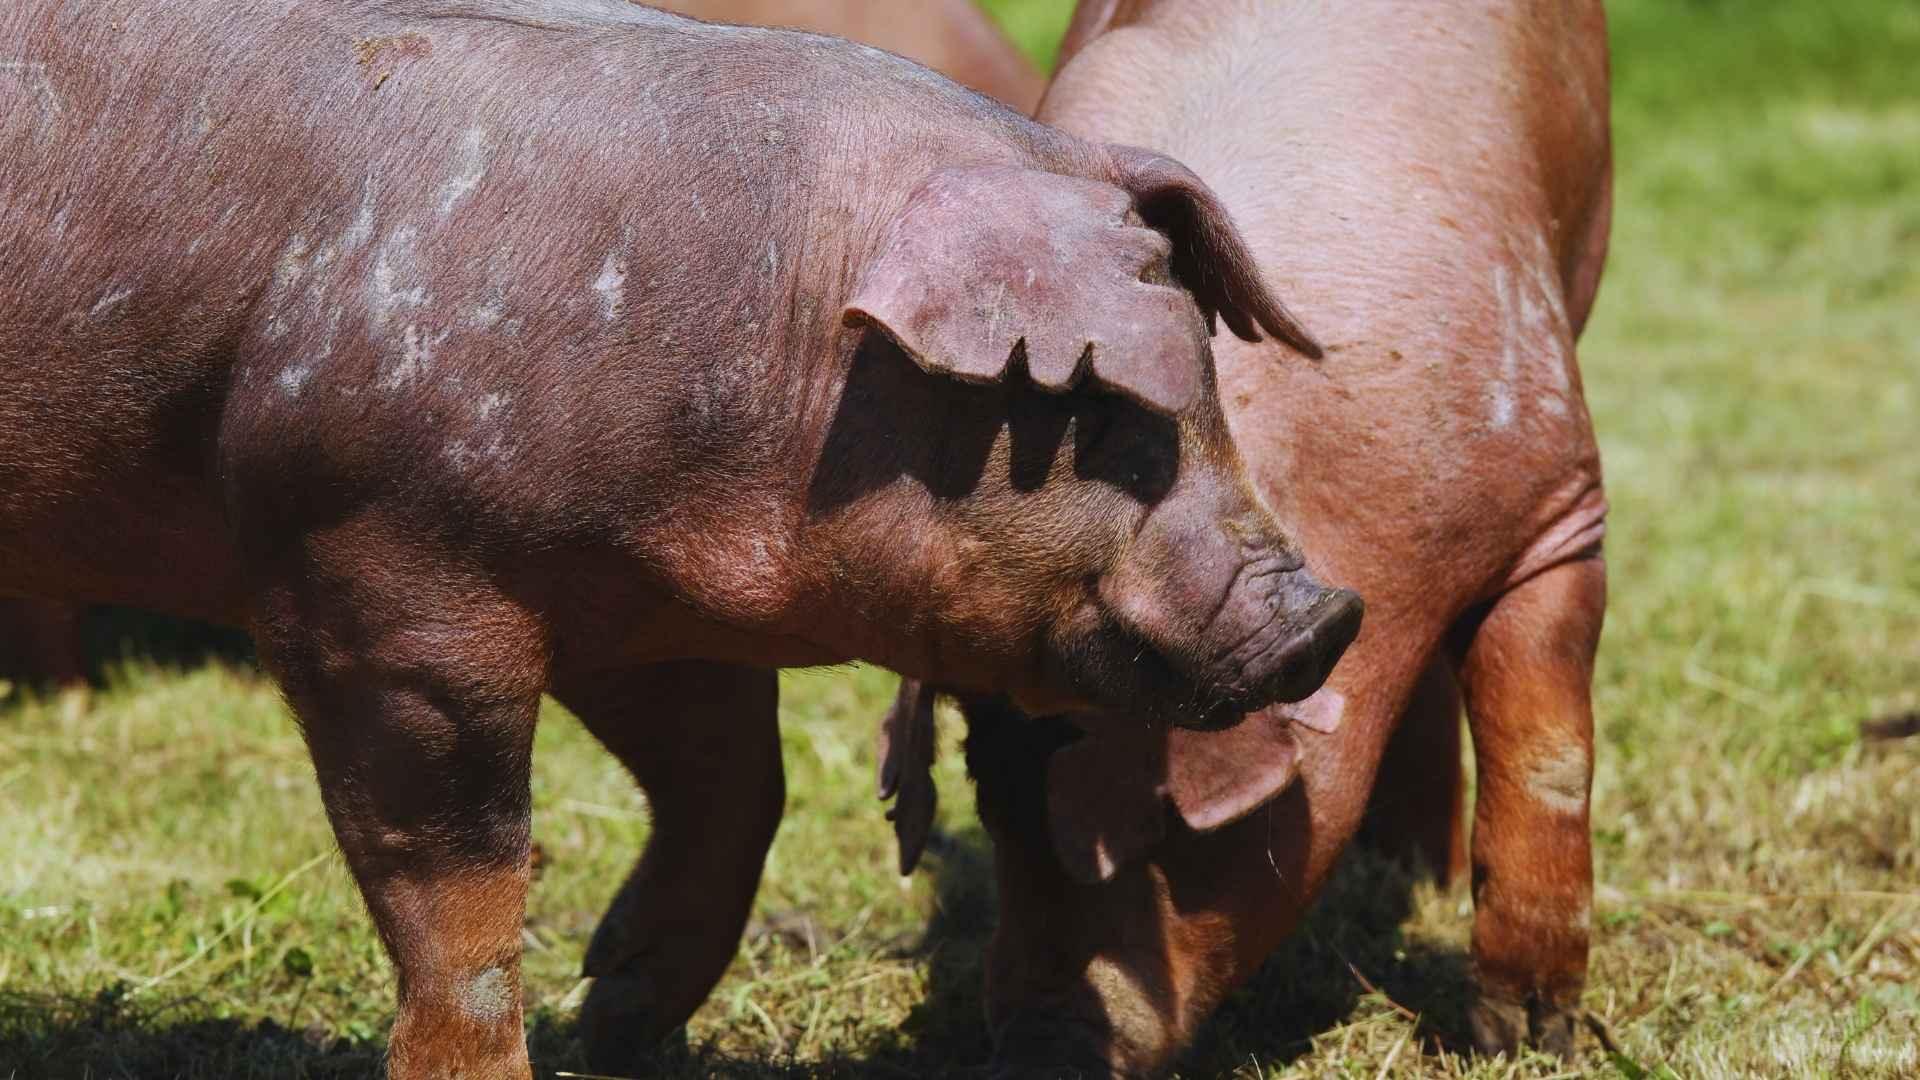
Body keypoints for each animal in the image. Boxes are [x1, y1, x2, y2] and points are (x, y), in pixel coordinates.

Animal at [0, 0, 1362, 1075]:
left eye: (1207, 380)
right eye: (1095, 412)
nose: (1327, 612)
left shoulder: (644, 612)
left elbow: (735, 788)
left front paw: (615, 1018)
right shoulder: (370, 584)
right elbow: (462, 887)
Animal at [881, 0, 1613, 1073]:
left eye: (1162, 826)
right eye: (988, 790)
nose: (1037, 1047)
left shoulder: (1557, 494)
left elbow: (1545, 747)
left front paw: (1521, 1037)